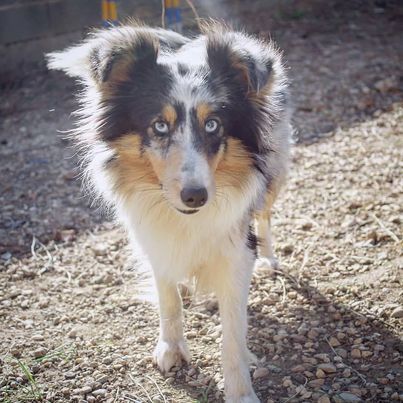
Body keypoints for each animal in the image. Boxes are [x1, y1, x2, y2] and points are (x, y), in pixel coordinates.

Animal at [47, 22, 292, 403]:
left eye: (213, 124)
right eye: (159, 126)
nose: (195, 196)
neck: (183, 220)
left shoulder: (236, 250)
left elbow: (233, 333)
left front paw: (240, 390)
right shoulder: (153, 238)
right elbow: (168, 297)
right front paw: (172, 349)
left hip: (275, 171)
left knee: (264, 215)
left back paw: (268, 258)